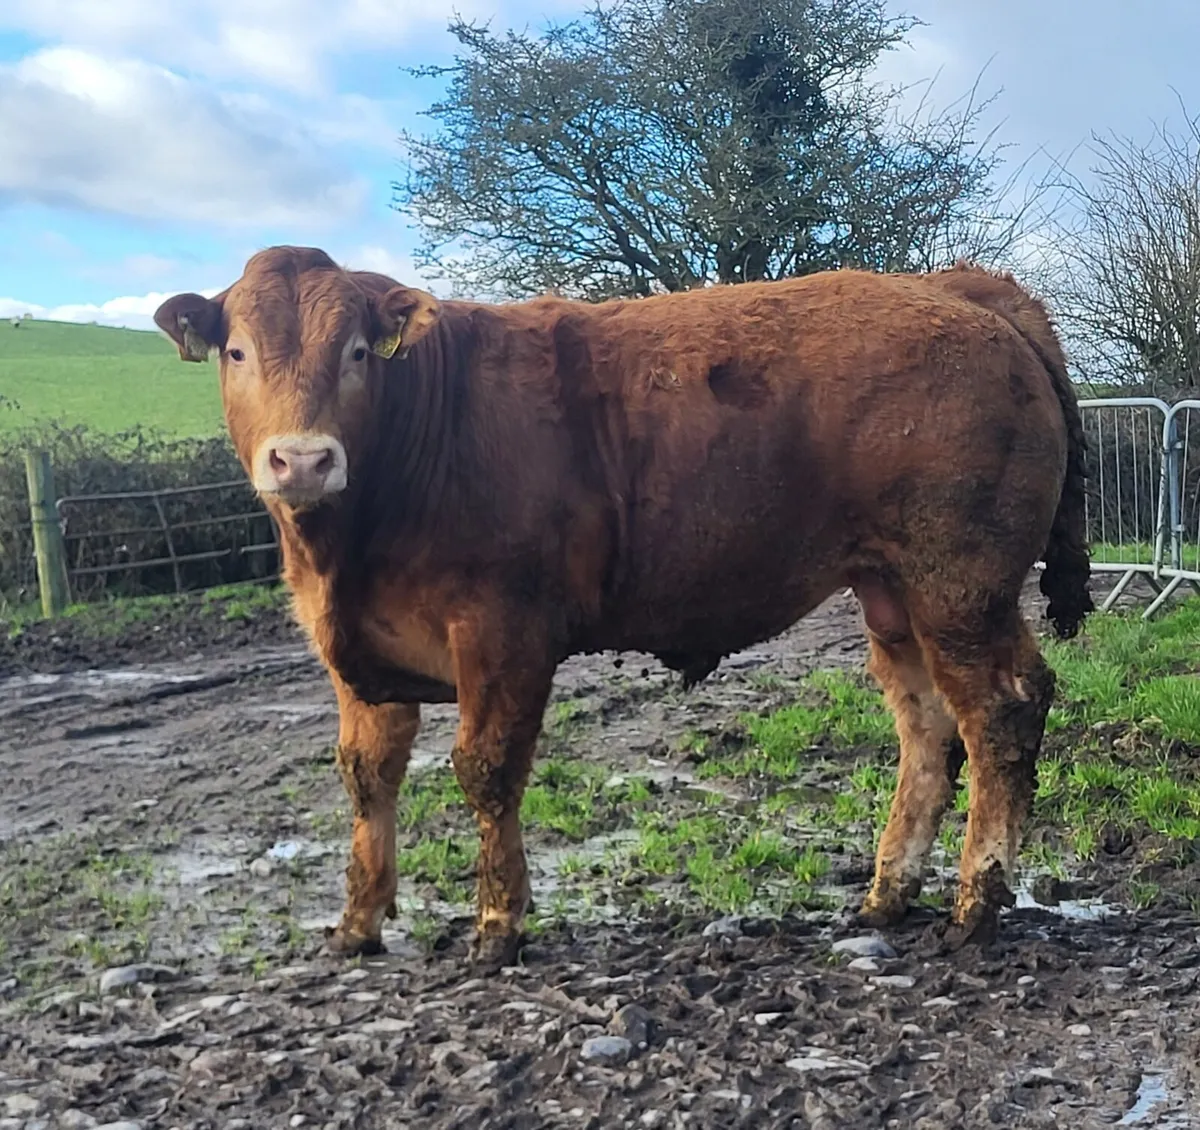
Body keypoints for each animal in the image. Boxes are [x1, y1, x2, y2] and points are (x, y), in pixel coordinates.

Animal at [154, 247, 1092, 969]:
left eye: (356, 351)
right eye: (236, 351)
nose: (303, 460)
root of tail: (954, 286)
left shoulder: (504, 633)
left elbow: (486, 771)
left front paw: (497, 926)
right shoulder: (357, 660)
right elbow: (366, 778)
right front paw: (357, 923)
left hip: (959, 584)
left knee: (1000, 713)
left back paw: (977, 904)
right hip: (892, 590)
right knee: (927, 728)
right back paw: (886, 895)